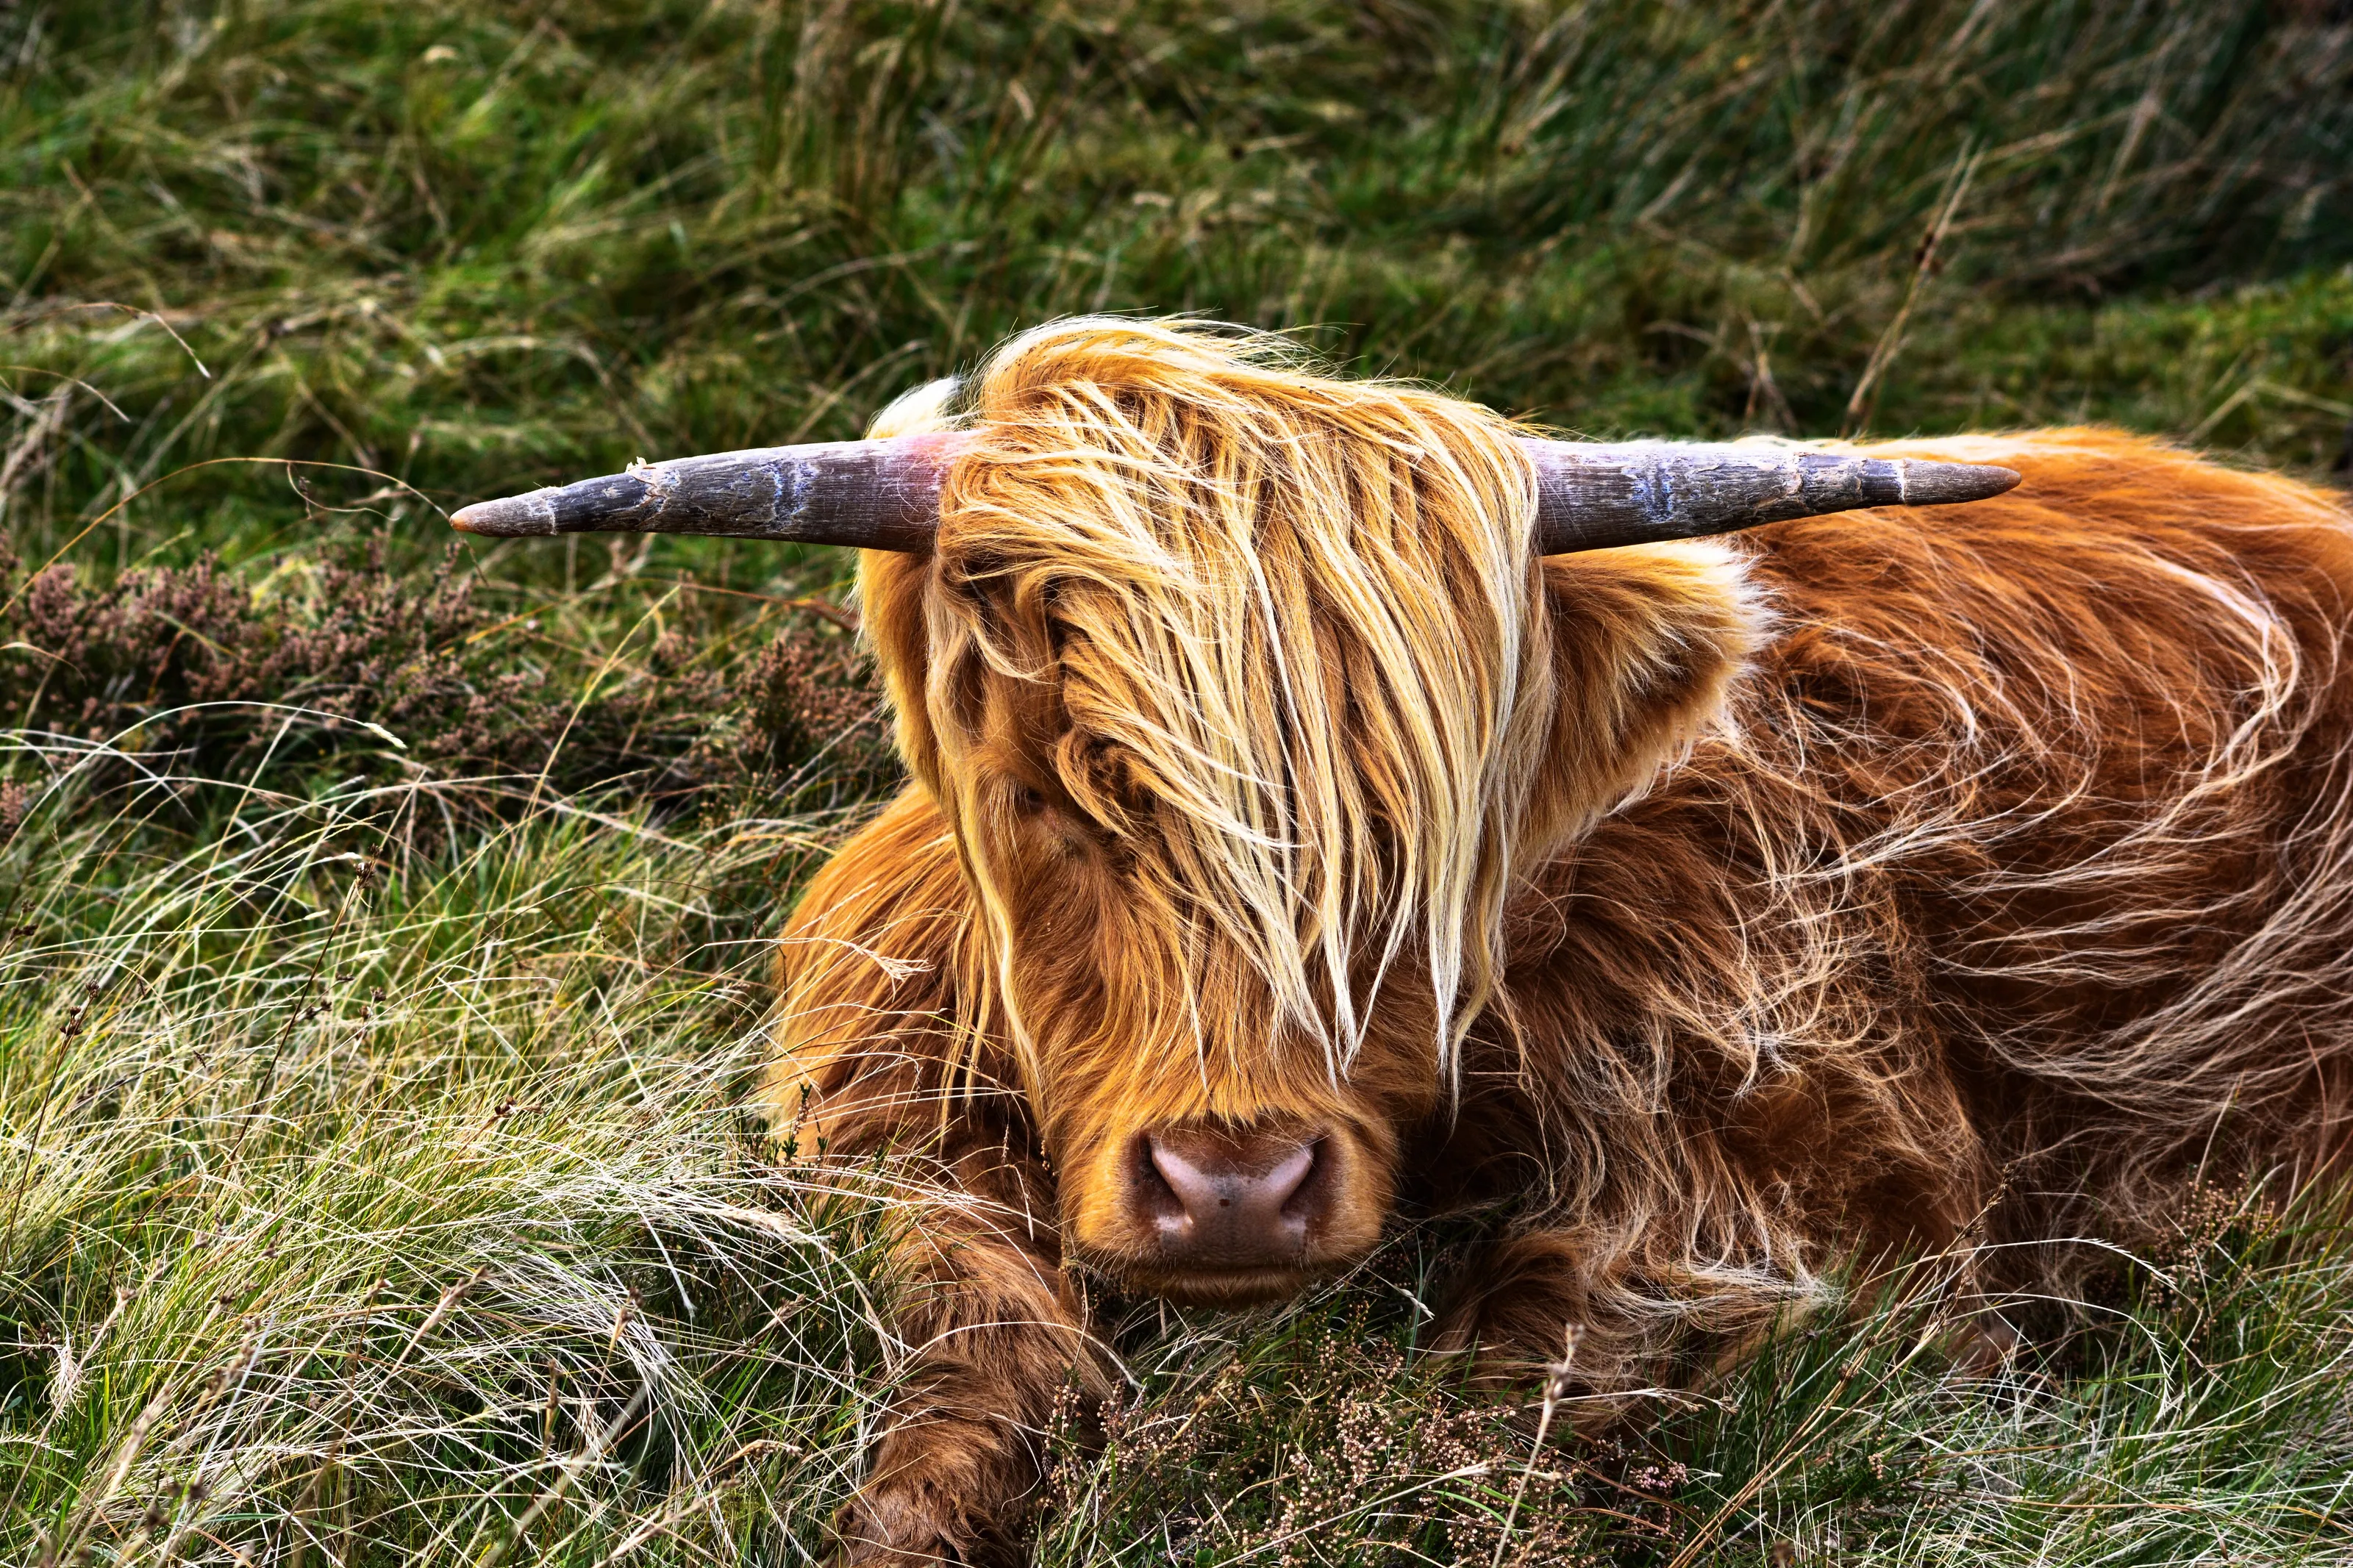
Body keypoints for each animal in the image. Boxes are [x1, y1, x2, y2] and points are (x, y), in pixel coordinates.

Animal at [453, 318, 2353, 1565]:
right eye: (1053, 784)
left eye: (1414, 839)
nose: (1230, 1184)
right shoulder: (875, 1097)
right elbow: (966, 1345)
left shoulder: (1803, 1169)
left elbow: (1480, 1394)